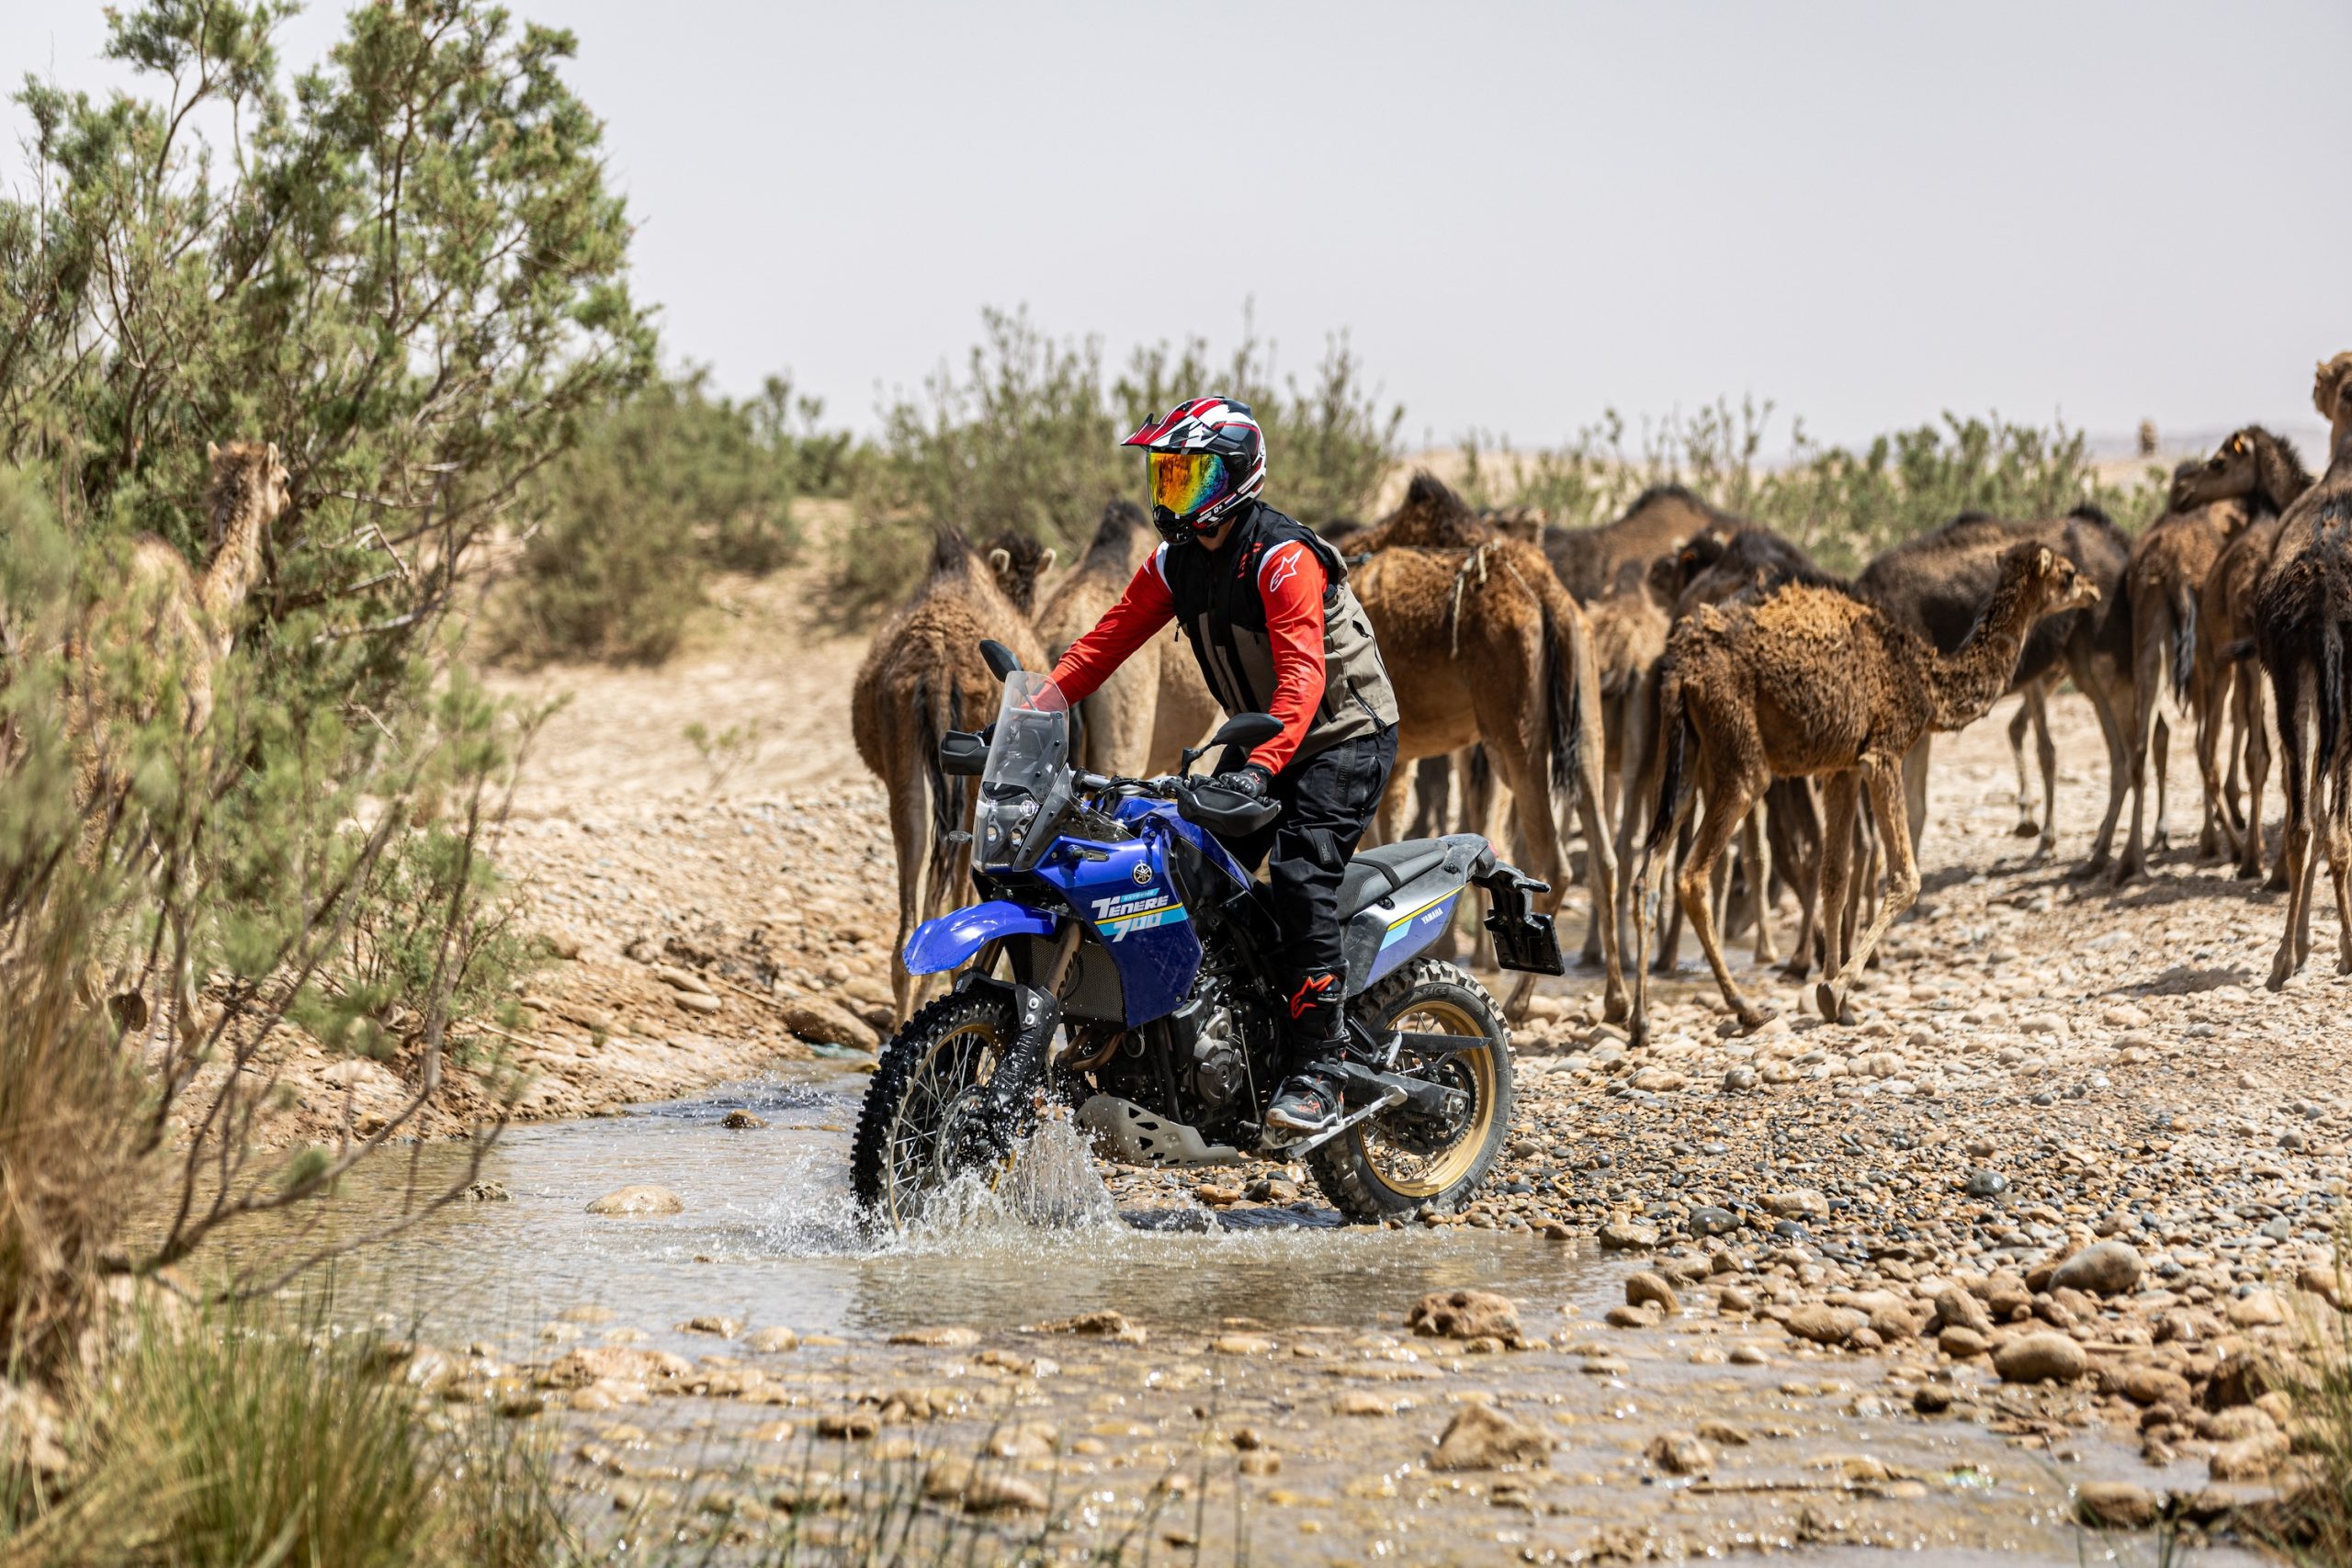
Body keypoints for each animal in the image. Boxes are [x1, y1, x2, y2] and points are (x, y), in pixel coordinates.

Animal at [1345, 479, 1618, 1024]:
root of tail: (1550, 598)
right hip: (1583, 715)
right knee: (1604, 855)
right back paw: (1623, 1005)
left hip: (1512, 724)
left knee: (1554, 859)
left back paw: (1518, 1000)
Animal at [1627, 540, 2107, 1043]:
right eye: (2068, 574)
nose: (2094, 590)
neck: (1927, 681)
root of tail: (1681, 668)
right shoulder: (1883, 752)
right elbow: (1905, 878)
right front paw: (1836, 991)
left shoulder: (1843, 766)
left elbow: (1834, 876)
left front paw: (1839, 1002)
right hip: (1740, 752)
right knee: (1691, 875)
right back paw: (1747, 1009)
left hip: (1687, 751)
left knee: (1648, 874)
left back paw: (1641, 1021)